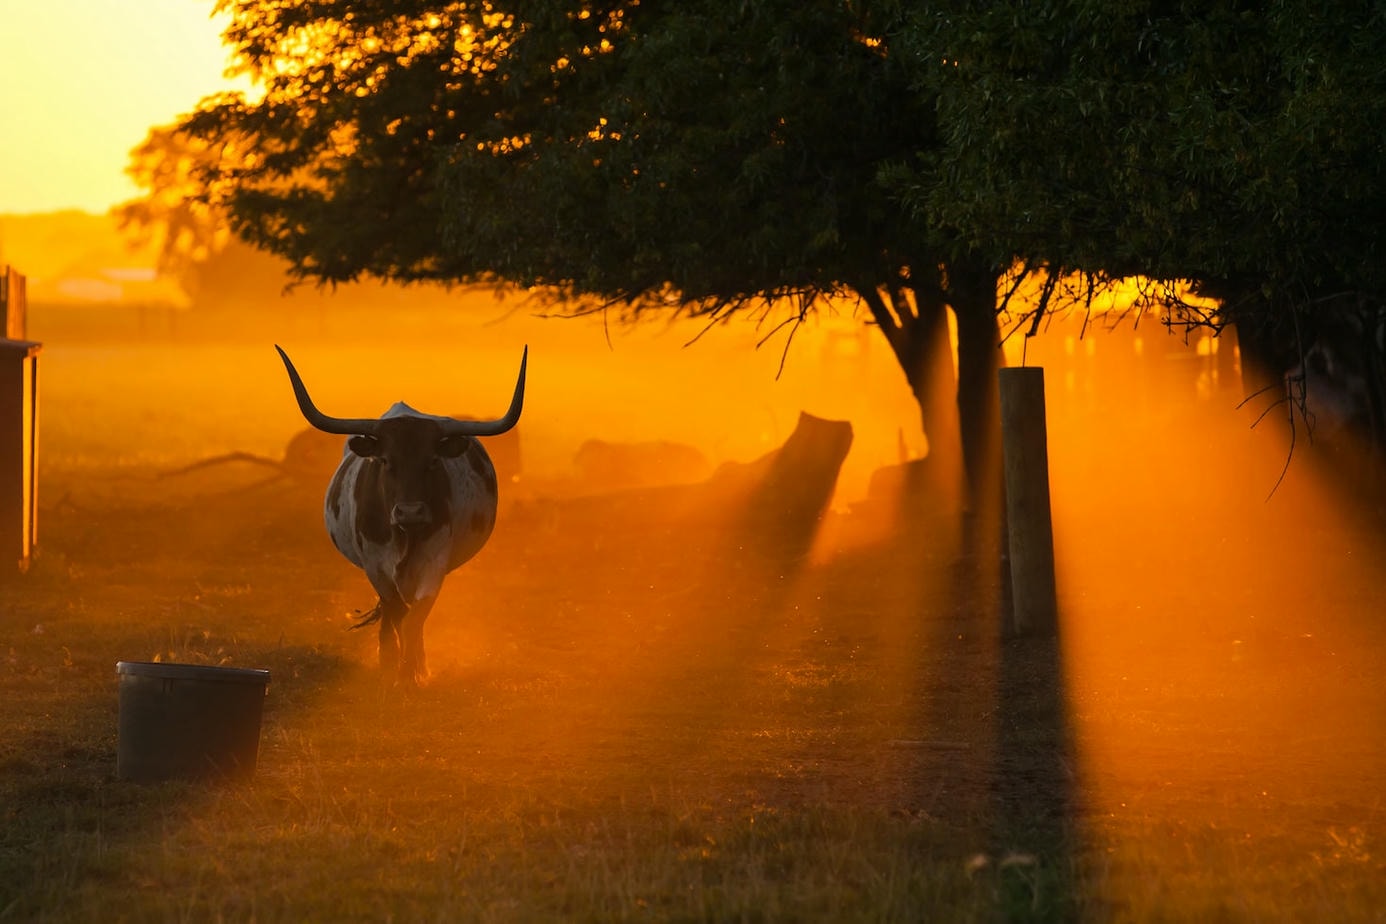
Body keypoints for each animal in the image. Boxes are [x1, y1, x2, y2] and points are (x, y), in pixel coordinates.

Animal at [273, 343, 526, 684]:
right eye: (385, 461)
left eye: (432, 461)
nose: (410, 512)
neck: (405, 535)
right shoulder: (375, 566)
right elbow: (397, 613)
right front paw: (396, 666)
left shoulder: (434, 563)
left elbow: (415, 618)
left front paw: (414, 671)